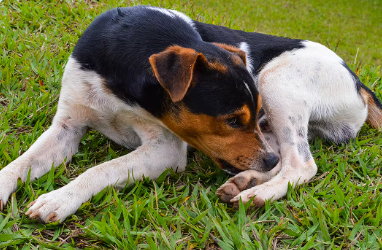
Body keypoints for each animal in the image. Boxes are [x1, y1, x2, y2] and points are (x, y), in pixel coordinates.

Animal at [0, 5, 382, 223]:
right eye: (232, 120)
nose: (267, 160)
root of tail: (358, 81)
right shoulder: (66, 126)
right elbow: (19, 164)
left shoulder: (164, 150)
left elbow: (100, 170)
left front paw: (60, 199)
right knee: (284, 159)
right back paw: (245, 182)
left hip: (279, 83)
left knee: (299, 163)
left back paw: (256, 194)